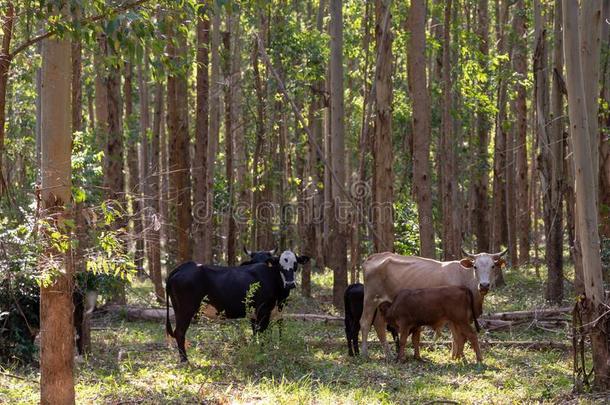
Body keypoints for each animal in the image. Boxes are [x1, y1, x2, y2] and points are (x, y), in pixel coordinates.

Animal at [164, 248, 308, 362]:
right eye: (280, 265)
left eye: (295, 264)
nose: (290, 284)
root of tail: (183, 267)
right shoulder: (263, 311)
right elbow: (263, 333)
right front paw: (263, 353)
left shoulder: (261, 314)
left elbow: (257, 332)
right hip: (186, 310)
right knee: (179, 332)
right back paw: (184, 360)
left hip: (177, 308)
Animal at [358, 249, 506, 356]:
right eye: (475, 266)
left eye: (493, 266)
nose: (484, 285)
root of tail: (374, 256)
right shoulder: (453, 316)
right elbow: (456, 336)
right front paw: (456, 357)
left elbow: (460, 337)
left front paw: (456, 356)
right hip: (370, 299)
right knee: (365, 322)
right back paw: (365, 354)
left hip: (381, 303)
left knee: (378, 324)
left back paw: (388, 355)